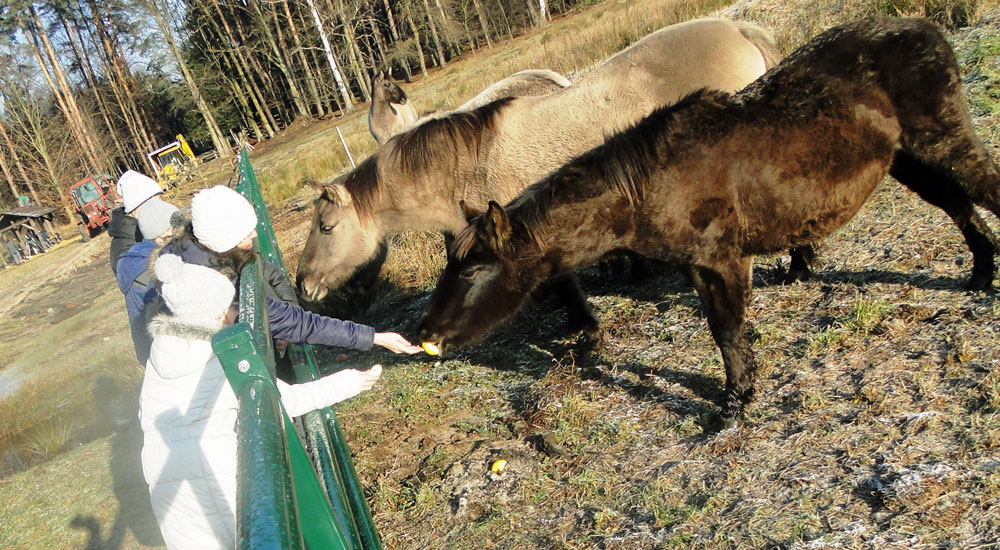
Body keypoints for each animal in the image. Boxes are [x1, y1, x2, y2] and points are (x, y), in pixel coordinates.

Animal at [296, 17, 780, 334]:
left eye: (326, 227)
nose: (303, 286)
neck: (466, 166)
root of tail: (739, 28)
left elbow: (563, 286)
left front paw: (585, 332)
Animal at [414, 17, 1000, 430]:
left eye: (472, 270)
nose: (426, 332)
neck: (651, 183)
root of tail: (921, 28)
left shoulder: (722, 260)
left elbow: (727, 329)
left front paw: (733, 406)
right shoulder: (698, 265)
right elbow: (723, 330)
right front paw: (739, 395)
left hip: (942, 141)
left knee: (983, 189)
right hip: (907, 158)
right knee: (956, 204)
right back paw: (979, 274)